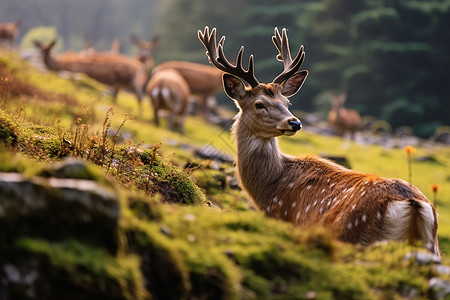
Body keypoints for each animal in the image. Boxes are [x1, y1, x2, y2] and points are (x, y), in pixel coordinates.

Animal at [198, 26, 440, 255]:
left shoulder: (284, 219)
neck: (269, 190)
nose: (295, 123)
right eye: (259, 104)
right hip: (433, 247)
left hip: (355, 236)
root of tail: (413, 204)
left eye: (287, 102)